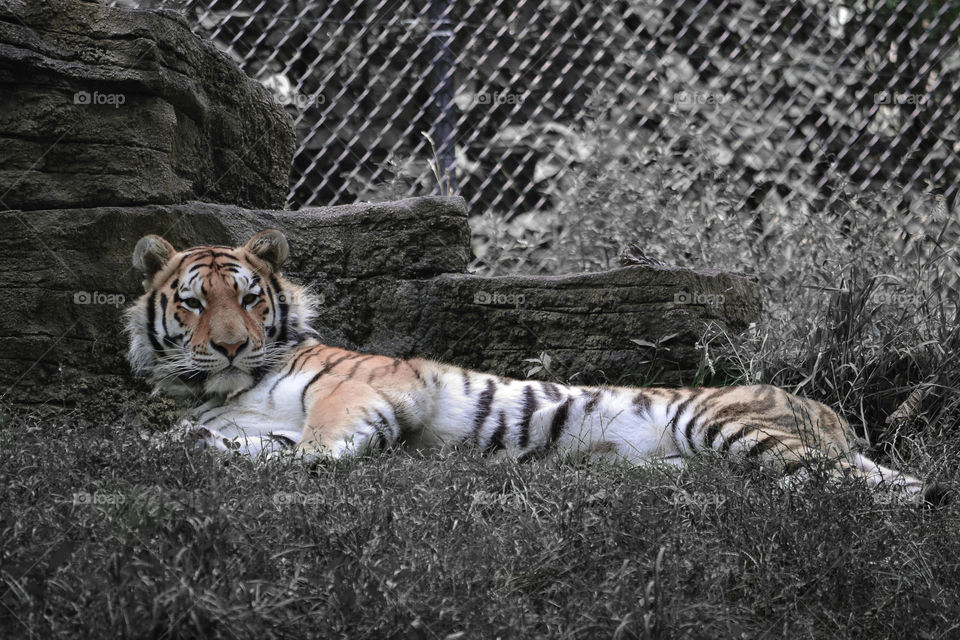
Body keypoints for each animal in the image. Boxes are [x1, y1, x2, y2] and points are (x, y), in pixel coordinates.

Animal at [124, 229, 947, 506]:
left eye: (249, 298)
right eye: (194, 303)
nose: (231, 345)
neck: (232, 385)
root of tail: (828, 412)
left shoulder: (373, 384)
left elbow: (321, 437)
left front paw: (313, 464)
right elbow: (202, 442)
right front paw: (207, 450)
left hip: (724, 422)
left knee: (868, 487)